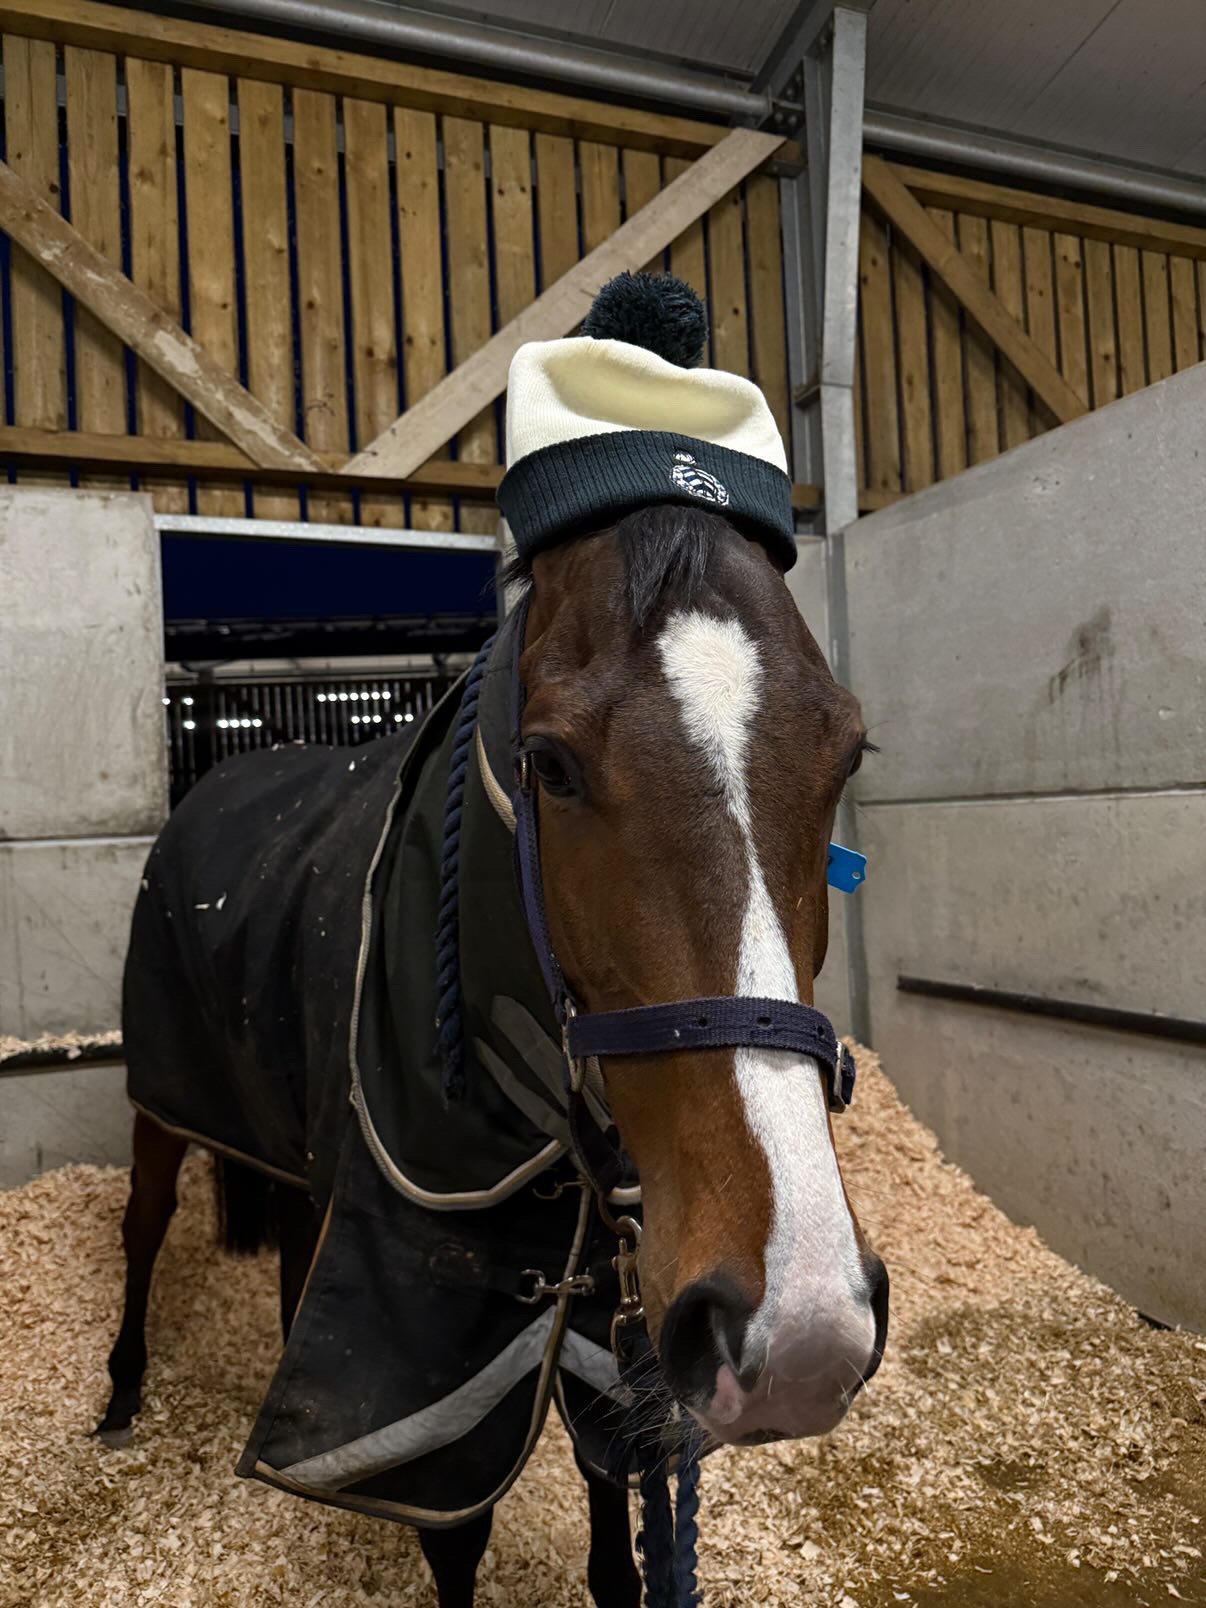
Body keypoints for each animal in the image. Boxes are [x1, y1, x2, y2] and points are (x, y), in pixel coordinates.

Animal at [98, 499, 888, 1608]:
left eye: (849, 753)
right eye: (549, 762)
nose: (806, 1330)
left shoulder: (613, 1322)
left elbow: (616, 1538)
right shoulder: (424, 1345)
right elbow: (455, 1539)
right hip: (163, 1099)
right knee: (145, 1224)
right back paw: (122, 1394)